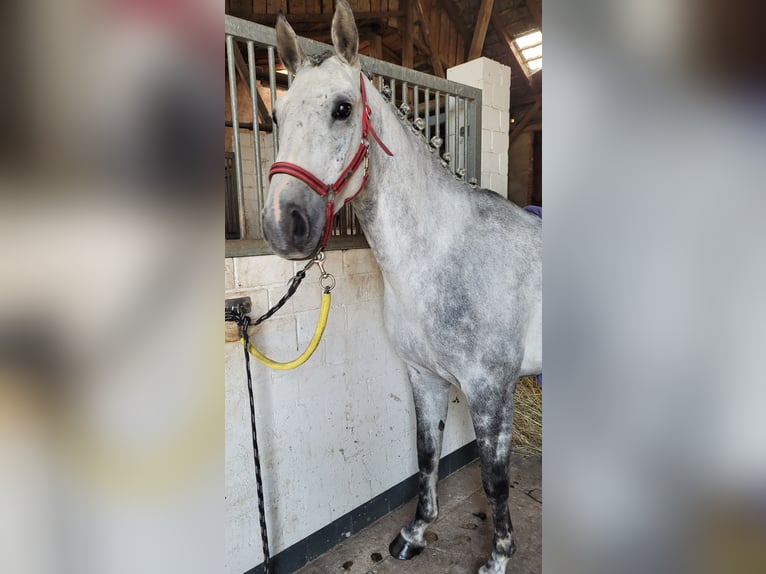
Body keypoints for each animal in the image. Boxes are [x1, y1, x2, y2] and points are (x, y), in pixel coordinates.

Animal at [261, 2, 542, 572]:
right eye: (276, 116)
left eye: (343, 109)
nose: (283, 223)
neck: (442, 254)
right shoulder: (423, 376)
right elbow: (426, 454)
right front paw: (414, 533)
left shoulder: (491, 391)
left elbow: (495, 481)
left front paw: (499, 557)